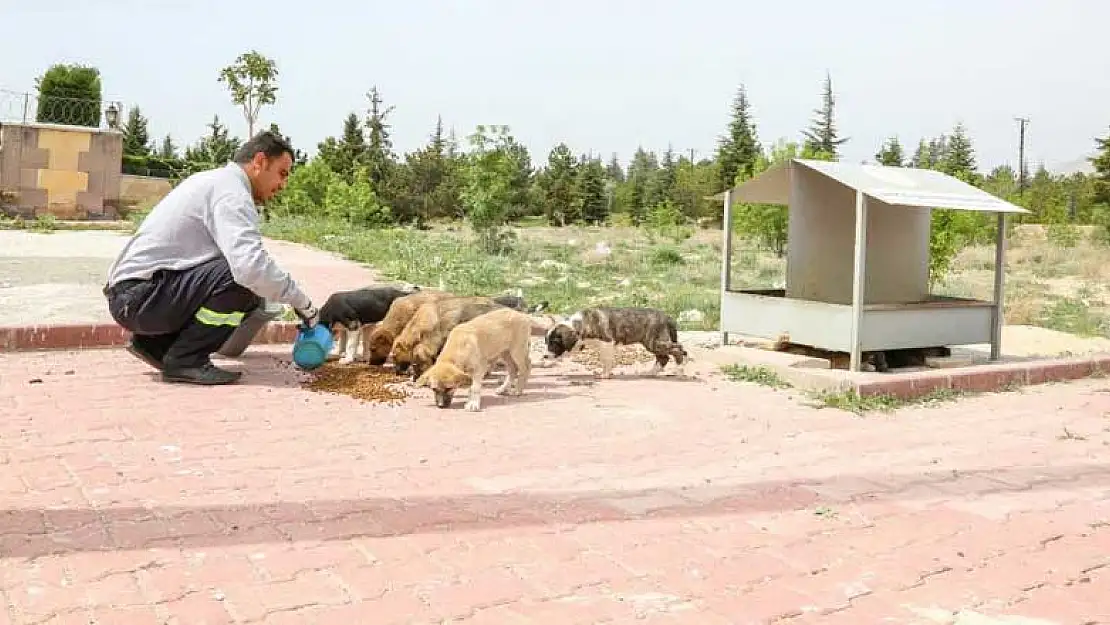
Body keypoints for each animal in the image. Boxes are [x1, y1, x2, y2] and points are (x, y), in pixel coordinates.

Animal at [412, 306, 541, 410]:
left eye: (449, 388)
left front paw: (473, 403)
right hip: (504, 352)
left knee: (526, 366)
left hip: (517, 350)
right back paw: (503, 389)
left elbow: (474, 387)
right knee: (513, 369)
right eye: (434, 389)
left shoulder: (479, 368)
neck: (458, 347)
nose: (441, 406)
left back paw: (518, 390)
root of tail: (521, 314)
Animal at [543, 306, 688, 379]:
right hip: (653, 343)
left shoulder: (606, 343)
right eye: (546, 342)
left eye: (554, 342)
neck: (582, 324)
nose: (545, 356)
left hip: (654, 342)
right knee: (664, 358)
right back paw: (651, 373)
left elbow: (606, 360)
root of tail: (667, 317)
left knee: (678, 349)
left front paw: (605, 374)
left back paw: (680, 370)